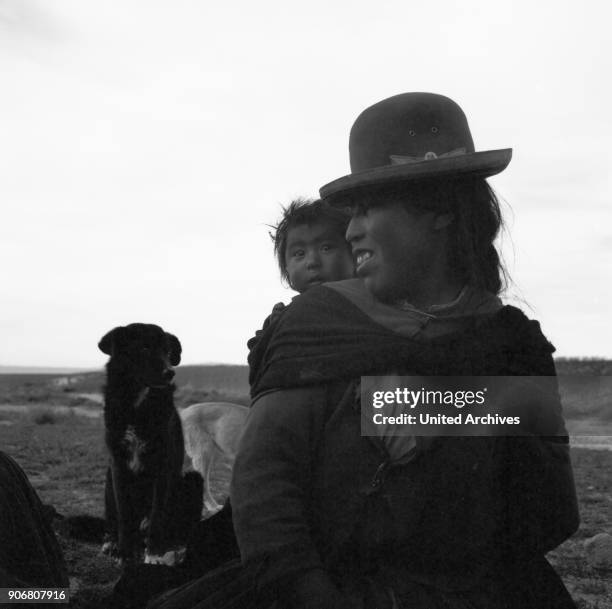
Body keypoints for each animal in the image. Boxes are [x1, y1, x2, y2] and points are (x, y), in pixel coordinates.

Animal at [98, 320, 194, 564]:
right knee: (114, 519)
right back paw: (112, 542)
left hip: (188, 480)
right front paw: (124, 553)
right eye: (144, 348)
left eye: (167, 351)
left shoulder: (162, 467)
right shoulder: (118, 466)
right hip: (108, 480)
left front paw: (154, 554)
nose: (170, 373)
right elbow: (123, 514)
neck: (138, 406)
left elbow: (157, 515)